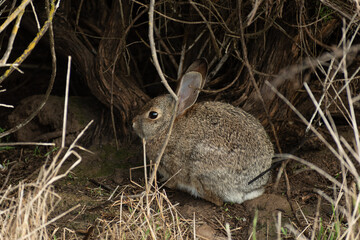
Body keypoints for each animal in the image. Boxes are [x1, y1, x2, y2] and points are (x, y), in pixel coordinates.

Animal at [132, 59, 272, 205]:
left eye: (153, 114)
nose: (133, 122)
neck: (166, 128)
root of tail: (250, 189)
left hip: (201, 168)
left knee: (217, 200)